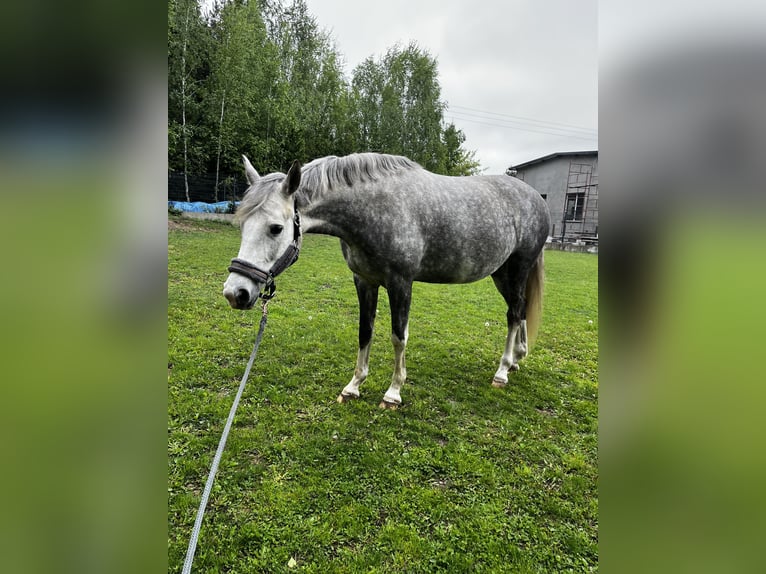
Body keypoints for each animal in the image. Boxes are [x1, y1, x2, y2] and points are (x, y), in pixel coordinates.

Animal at [223, 153, 550, 409]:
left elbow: (398, 336)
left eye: (276, 228)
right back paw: (517, 358)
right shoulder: (364, 281)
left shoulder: (400, 283)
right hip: (501, 273)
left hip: (518, 269)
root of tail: (536, 198)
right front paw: (353, 387)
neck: (375, 209)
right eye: (242, 224)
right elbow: (364, 331)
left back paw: (502, 372)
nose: (235, 293)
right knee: (519, 310)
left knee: (513, 314)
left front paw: (393, 393)